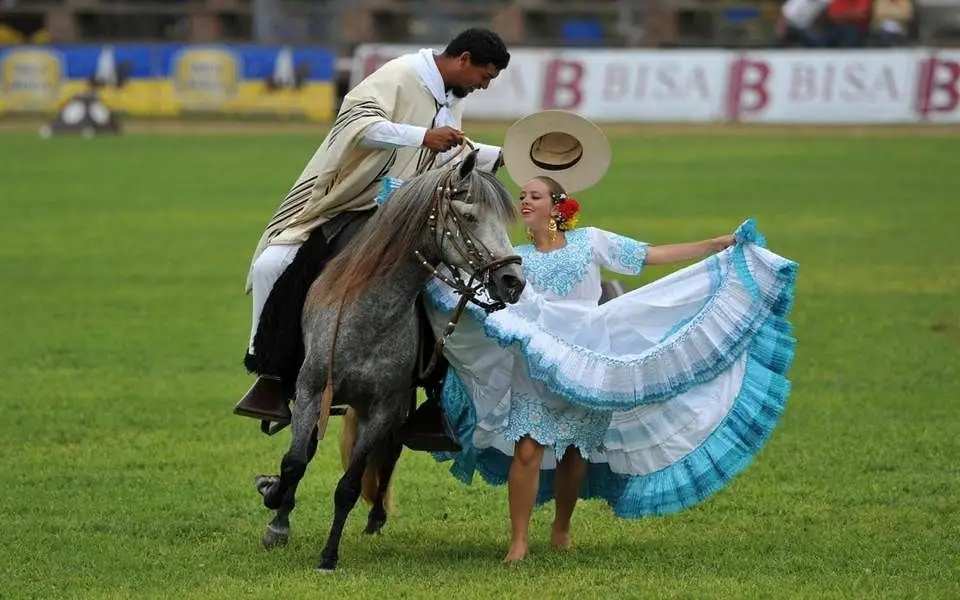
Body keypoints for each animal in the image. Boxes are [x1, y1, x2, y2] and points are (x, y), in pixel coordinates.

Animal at [254, 150, 526, 572]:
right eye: (468, 216)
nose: (512, 282)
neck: (369, 313)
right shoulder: (311, 390)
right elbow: (295, 460)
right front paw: (276, 517)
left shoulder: (382, 407)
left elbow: (349, 485)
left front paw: (329, 555)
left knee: (392, 448)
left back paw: (377, 514)